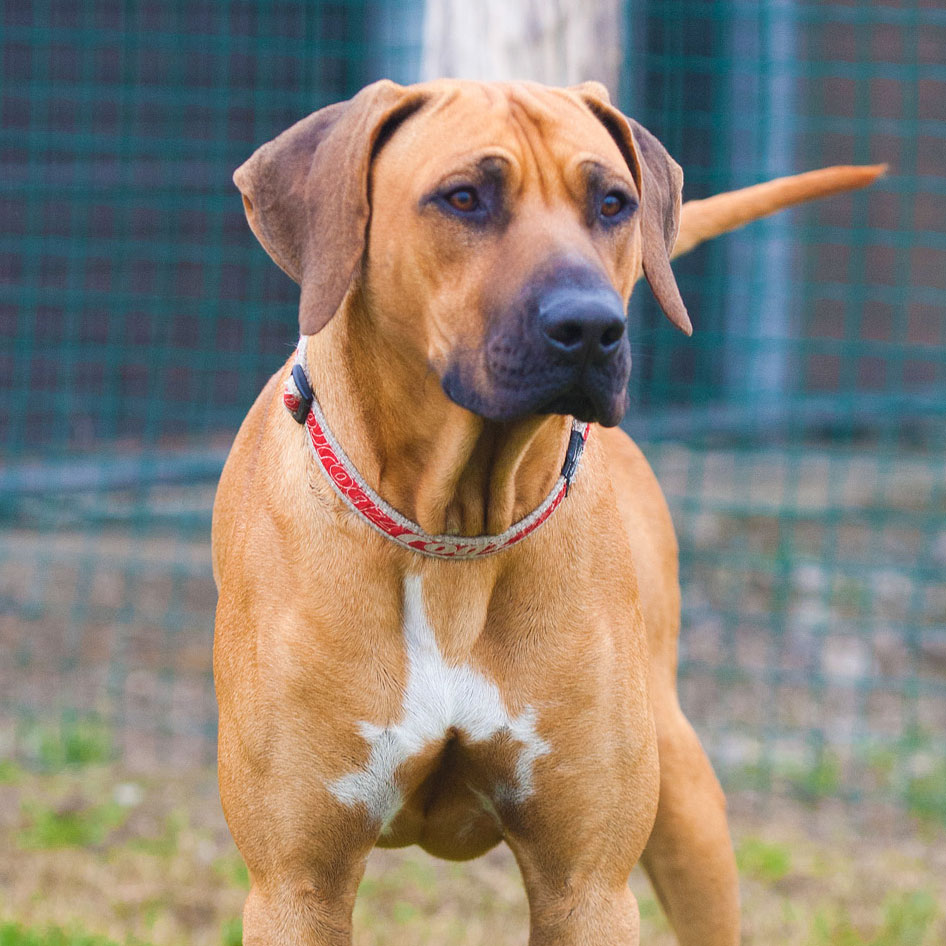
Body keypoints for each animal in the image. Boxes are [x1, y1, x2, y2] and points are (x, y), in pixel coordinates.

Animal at [212, 81, 876, 944]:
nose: (592, 326)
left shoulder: (586, 885)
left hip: (684, 797)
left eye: (613, 203)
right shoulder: (297, 884)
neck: (452, 532)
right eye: (464, 197)